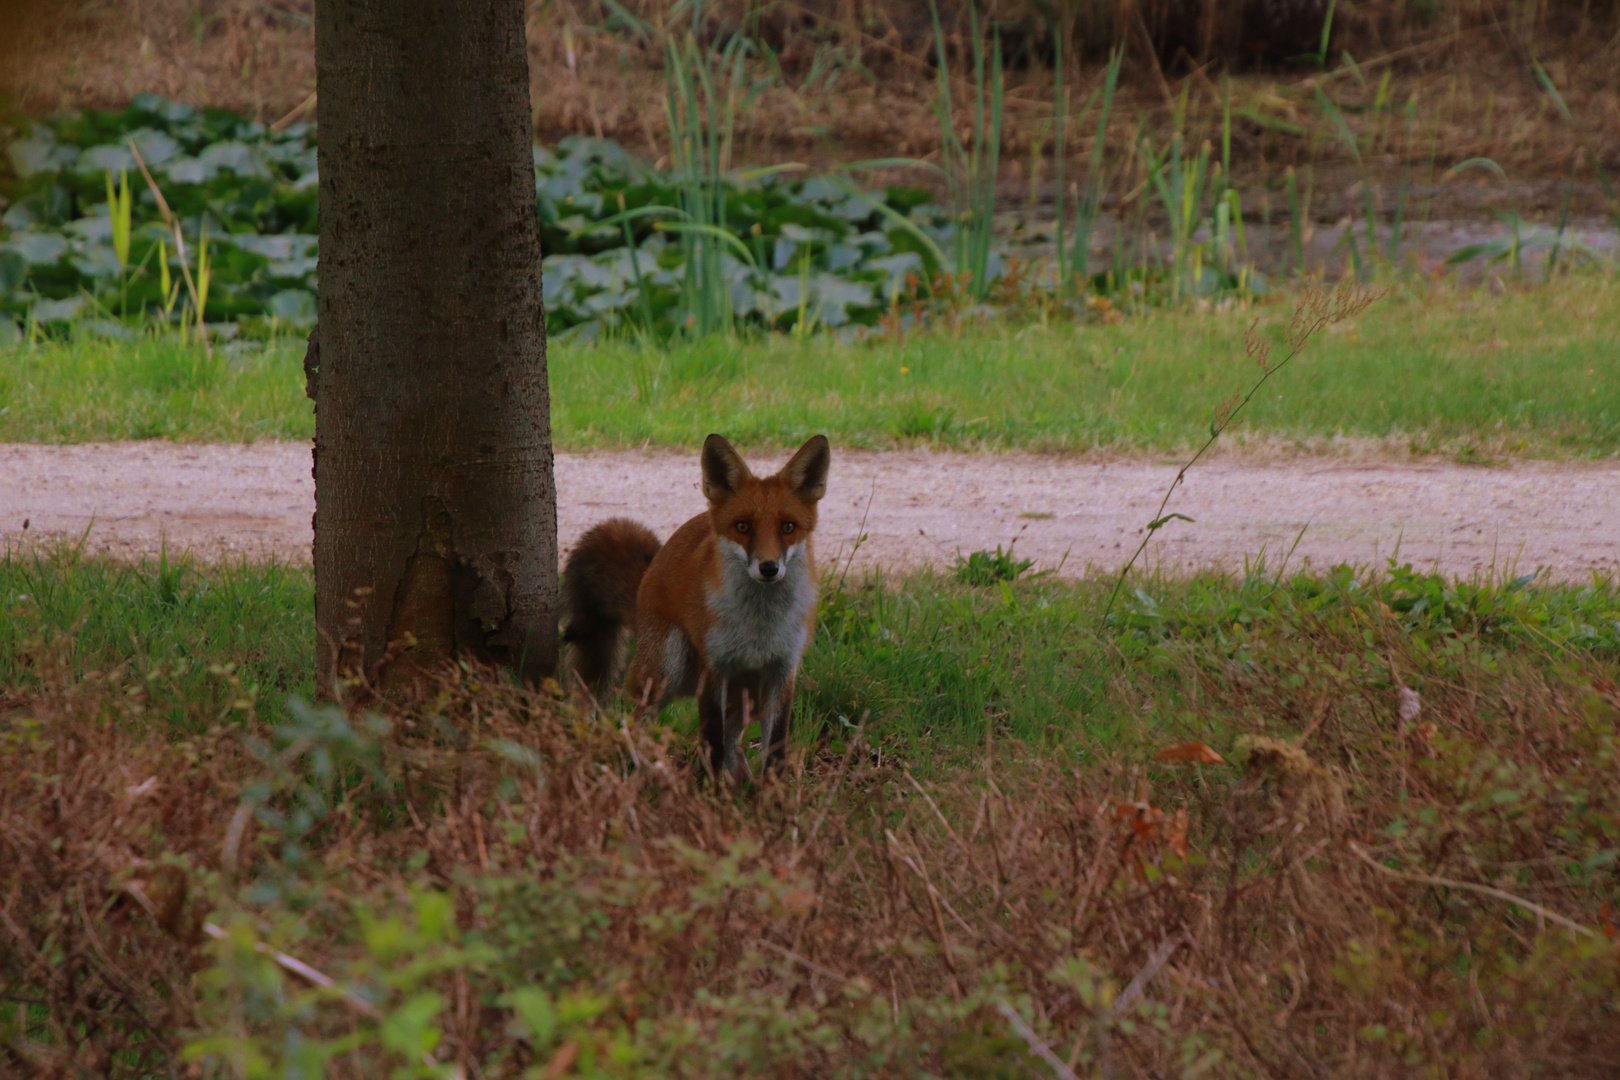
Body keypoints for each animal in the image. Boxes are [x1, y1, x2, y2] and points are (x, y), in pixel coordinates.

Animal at [560, 433, 835, 780]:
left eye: (788, 527)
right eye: (742, 527)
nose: (769, 568)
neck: (759, 626)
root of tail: (644, 584)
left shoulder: (783, 671)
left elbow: (775, 750)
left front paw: (771, 793)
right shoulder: (713, 666)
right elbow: (711, 740)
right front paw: (710, 788)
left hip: (748, 695)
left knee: (734, 741)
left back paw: (737, 782)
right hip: (668, 670)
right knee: (634, 724)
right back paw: (642, 772)